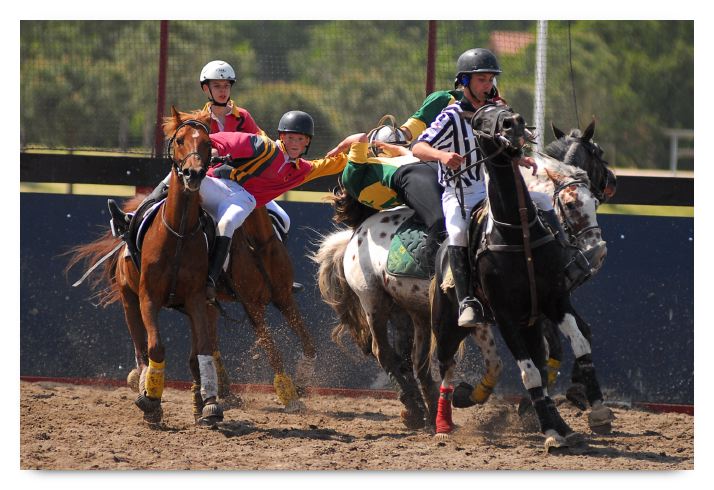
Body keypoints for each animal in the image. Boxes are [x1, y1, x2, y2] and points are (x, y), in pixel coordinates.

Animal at [67, 107, 222, 425]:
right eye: (180, 140)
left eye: (207, 142)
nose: (193, 173)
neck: (179, 233)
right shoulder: (148, 297)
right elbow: (155, 347)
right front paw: (151, 399)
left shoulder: (196, 299)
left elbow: (203, 349)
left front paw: (210, 404)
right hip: (129, 300)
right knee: (140, 347)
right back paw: (142, 382)